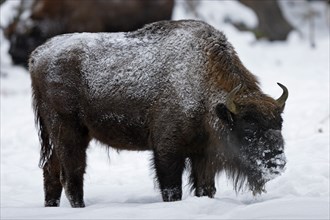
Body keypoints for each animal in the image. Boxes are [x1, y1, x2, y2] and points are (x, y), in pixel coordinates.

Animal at [31, 19, 288, 207]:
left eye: (279, 124)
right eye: (248, 128)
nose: (277, 161)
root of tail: (38, 54)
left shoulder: (202, 156)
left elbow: (206, 188)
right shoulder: (168, 152)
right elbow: (172, 189)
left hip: (63, 137)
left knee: (51, 171)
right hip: (69, 133)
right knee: (72, 176)